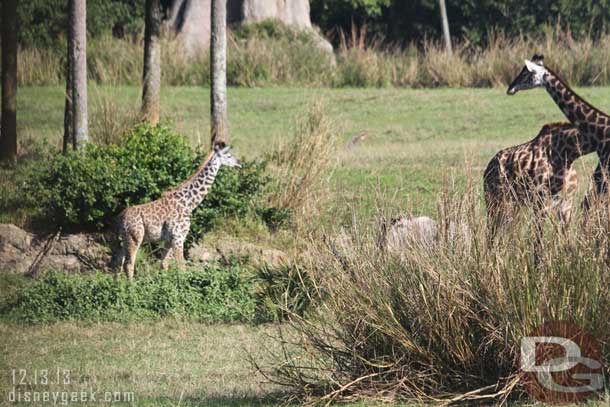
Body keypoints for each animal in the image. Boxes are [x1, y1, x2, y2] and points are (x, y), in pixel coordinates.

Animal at [113, 147, 240, 280]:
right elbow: (182, 266)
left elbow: (164, 264)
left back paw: (118, 285)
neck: (189, 203)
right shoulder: (179, 237)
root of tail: (119, 218)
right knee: (129, 264)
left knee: (117, 263)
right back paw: (131, 285)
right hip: (135, 238)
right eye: (229, 155)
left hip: (123, 241)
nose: (239, 164)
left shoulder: (169, 239)